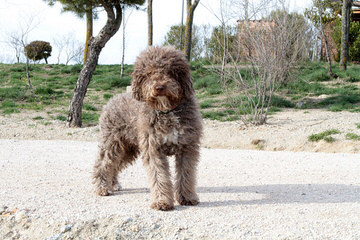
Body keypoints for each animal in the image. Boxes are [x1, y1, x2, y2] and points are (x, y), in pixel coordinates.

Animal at [93, 46, 202, 211]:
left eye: (170, 71)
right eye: (149, 73)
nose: (159, 87)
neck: (166, 111)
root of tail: (112, 100)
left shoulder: (187, 147)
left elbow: (186, 174)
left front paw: (187, 198)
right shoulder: (153, 148)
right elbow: (159, 175)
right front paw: (162, 202)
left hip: (128, 148)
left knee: (115, 165)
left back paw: (113, 184)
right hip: (112, 142)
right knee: (103, 164)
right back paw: (102, 187)